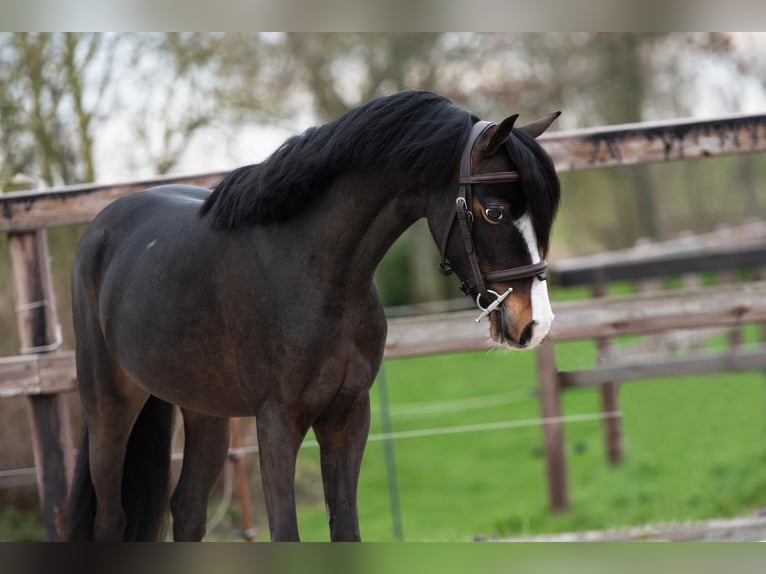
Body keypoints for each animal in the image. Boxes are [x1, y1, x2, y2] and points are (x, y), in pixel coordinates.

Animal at [65, 90, 561, 542]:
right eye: (494, 211)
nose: (534, 323)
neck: (316, 272)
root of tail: (101, 228)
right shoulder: (277, 424)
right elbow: (286, 532)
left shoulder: (347, 418)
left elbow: (346, 530)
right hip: (109, 406)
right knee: (110, 520)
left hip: (204, 410)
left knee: (187, 511)